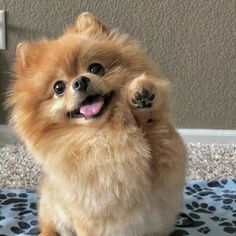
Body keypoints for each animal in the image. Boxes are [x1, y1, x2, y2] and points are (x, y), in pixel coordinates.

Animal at [7, 12, 186, 236]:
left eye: (95, 68)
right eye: (58, 87)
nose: (81, 81)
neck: (105, 133)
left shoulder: (168, 161)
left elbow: (156, 132)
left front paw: (141, 95)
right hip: (52, 207)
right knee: (49, 225)